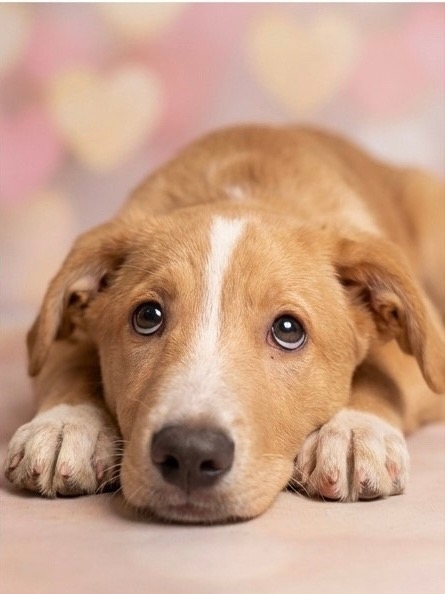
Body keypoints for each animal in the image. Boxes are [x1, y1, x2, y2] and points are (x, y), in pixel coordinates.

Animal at [5, 125, 445, 524]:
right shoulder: (66, 334)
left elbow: (382, 369)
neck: (241, 194)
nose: (189, 452)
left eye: (288, 330)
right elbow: (69, 364)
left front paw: (355, 432)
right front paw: (66, 425)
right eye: (147, 317)